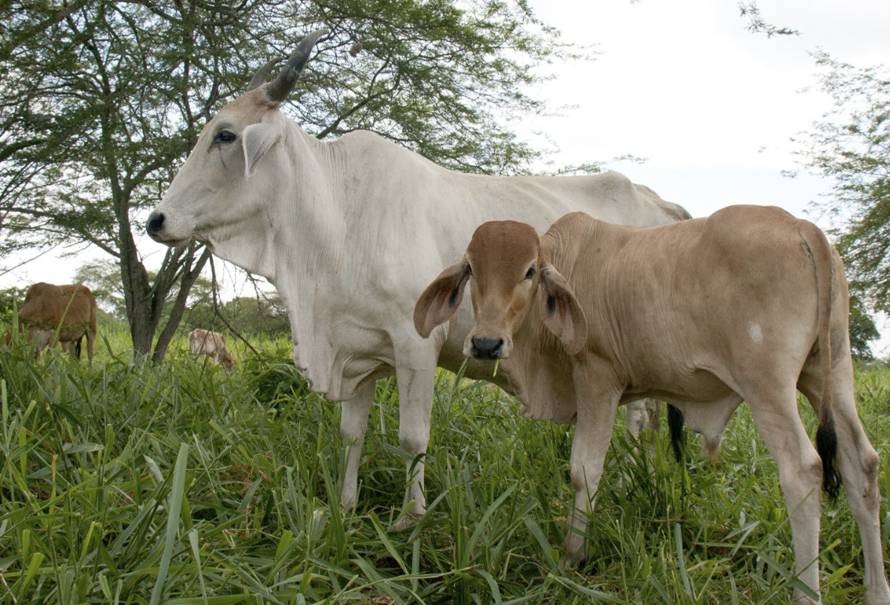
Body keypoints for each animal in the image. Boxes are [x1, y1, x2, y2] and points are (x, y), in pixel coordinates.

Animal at [147, 30, 688, 528]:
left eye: (225, 135)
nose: (156, 220)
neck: (337, 212)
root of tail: (660, 204)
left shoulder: (416, 344)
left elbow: (413, 437)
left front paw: (411, 520)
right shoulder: (357, 350)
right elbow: (351, 434)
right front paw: (345, 509)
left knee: (640, 418)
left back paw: (626, 485)